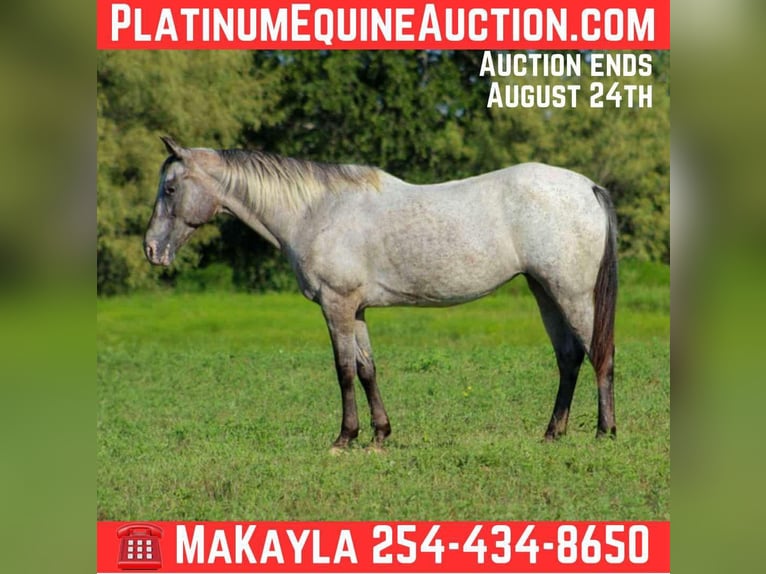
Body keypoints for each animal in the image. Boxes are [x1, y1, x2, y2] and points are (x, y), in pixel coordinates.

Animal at [144, 136, 617, 450]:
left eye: (170, 188)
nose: (151, 249)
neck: (316, 211)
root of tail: (587, 187)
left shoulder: (336, 305)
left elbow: (343, 370)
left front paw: (344, 437)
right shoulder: (356, 309)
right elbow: (367, 368)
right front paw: (379, 434)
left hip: (572, 294)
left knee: (600, 354)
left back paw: (605, 431)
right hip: (544, 292)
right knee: (569, 357)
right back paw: (553, 432)